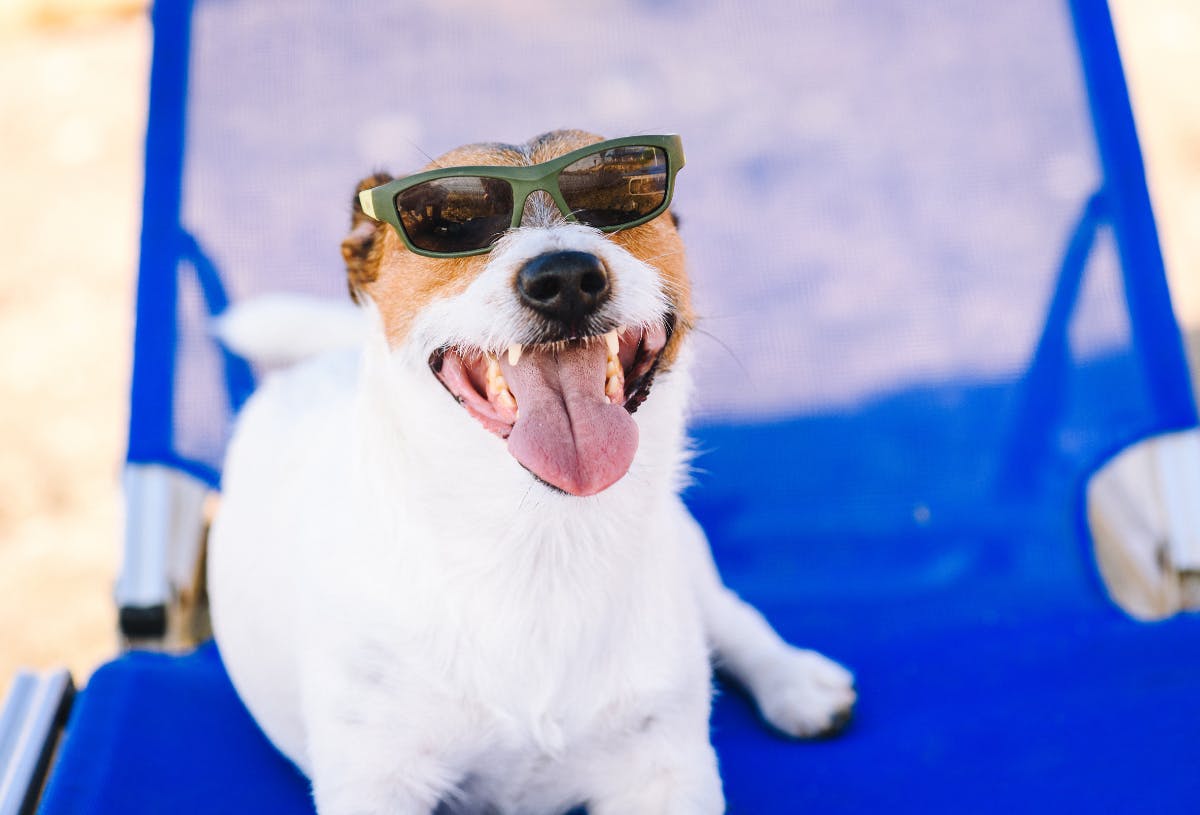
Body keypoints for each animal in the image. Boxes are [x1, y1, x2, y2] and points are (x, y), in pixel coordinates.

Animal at [211, 130, 859, 811]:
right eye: (447, 222)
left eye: (620, 195)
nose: (567, 277)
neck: (540, 538)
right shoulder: (377, 777)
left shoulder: (664, 771)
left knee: (729, 614)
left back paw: (795, 680)